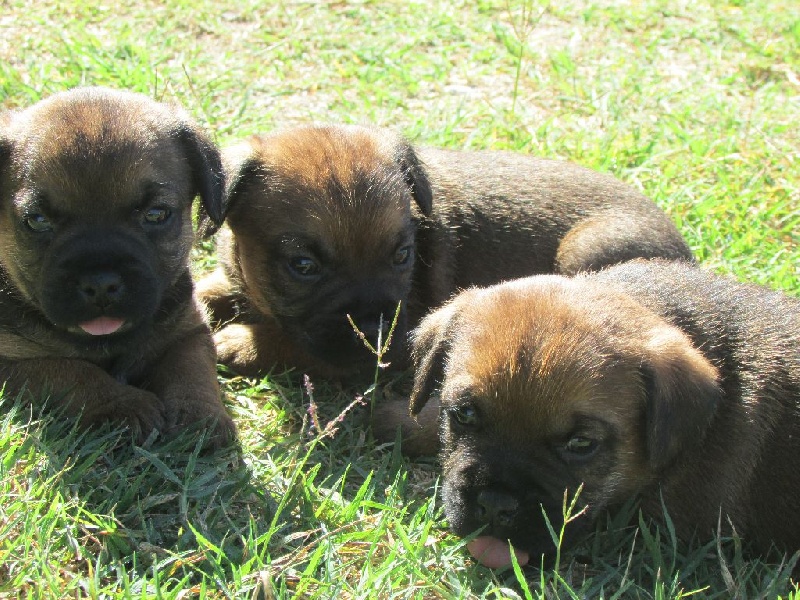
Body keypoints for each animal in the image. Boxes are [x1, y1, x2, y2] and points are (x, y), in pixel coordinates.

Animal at [197, 125, 692, 380]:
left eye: (403, 256)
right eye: (303, 266)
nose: (376, 327)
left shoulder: (394, 348)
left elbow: (303, 348)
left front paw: (245, 342)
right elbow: (208, 288)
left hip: (587, 250)